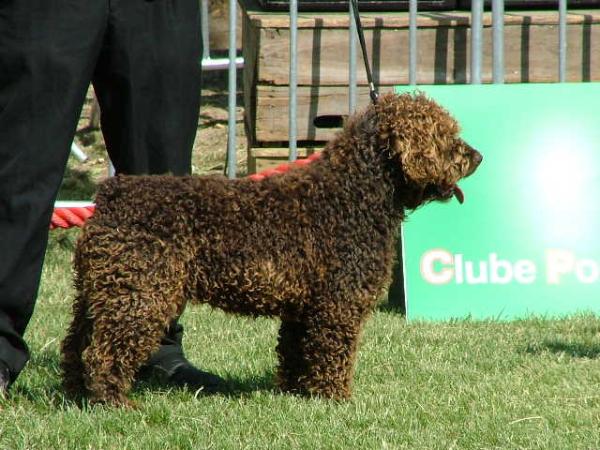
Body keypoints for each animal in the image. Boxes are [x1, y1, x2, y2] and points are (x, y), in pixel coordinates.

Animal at [61, 93, 482, 406]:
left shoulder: (304, 309)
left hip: (99, 293)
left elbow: (296, 353)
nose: (476, 156)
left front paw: (297, 395)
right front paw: (336, 400)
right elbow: (332, 355)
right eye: (444, 135)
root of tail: (111, 194)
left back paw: (76, 396)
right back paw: (113, 402)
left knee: (75, 346)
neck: (351, 193)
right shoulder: (337, 306)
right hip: (140, 297)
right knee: (103, 353)